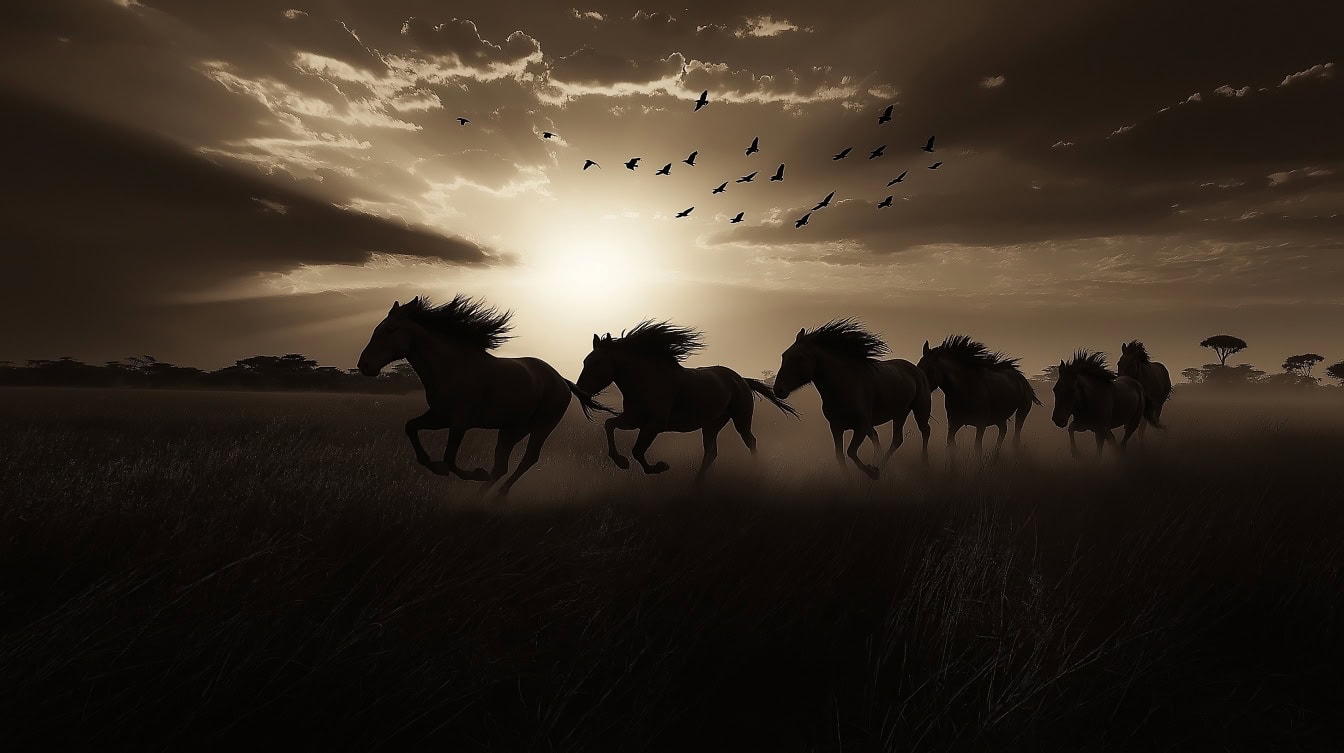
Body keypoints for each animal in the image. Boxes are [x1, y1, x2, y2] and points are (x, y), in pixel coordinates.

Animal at [357, 297, 610, 497]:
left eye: (389, 329)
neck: (451, 368)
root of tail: (562, 381)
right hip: (513, 428)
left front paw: (474, 473)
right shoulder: (439, 416)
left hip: (541, 426)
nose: (364, 365)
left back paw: (498, 494)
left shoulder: (460, 422)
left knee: (527, 459)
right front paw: (433, 465)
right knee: (501, 466)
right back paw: (480, 496)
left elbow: (449, 459)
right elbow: (411, 427)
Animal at [572, 322, 790, 476]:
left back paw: (756, 471)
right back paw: (696, 483)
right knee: (711, 453)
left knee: (750, 441)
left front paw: (660, 466)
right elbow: (609, 425)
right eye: (584, 361)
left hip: (741, 419)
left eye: (597, 363)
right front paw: (621, 462)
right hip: (711, 424)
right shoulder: (633, 420)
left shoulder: (654, 424)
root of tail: (741, 379)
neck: (646, 381)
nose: (580, 390)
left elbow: (637, 451)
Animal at [774, 320, 930, 478]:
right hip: (900, 413)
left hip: (920, 410)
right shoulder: (836, 427)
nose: (778, 389)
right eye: (784, 355)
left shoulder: (861, 426)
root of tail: (917, 370)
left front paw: (872, 472)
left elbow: (851, 452)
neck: (845, 387)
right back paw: (882, 465)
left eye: (800, 358)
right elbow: (840, 455)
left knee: (925, 431)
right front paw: (852, 477)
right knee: (896, 439)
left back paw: (922, 463)